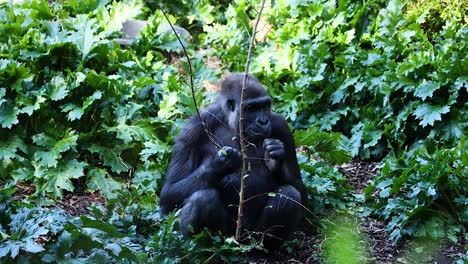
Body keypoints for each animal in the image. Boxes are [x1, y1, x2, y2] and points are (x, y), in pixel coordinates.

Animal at [160, 72, 308, 250]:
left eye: (265, 106)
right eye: (251, 108)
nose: (263, 121)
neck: (230, 122)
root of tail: (241, 241)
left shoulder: (282, 126)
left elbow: (301, 192)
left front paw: (276, 158)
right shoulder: (193, 129)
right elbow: (169, 192)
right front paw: (221, 163)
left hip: (252, 236)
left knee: (289, 195)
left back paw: (267, 245)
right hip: (227, 237)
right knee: (203, 197)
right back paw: (205, 246)